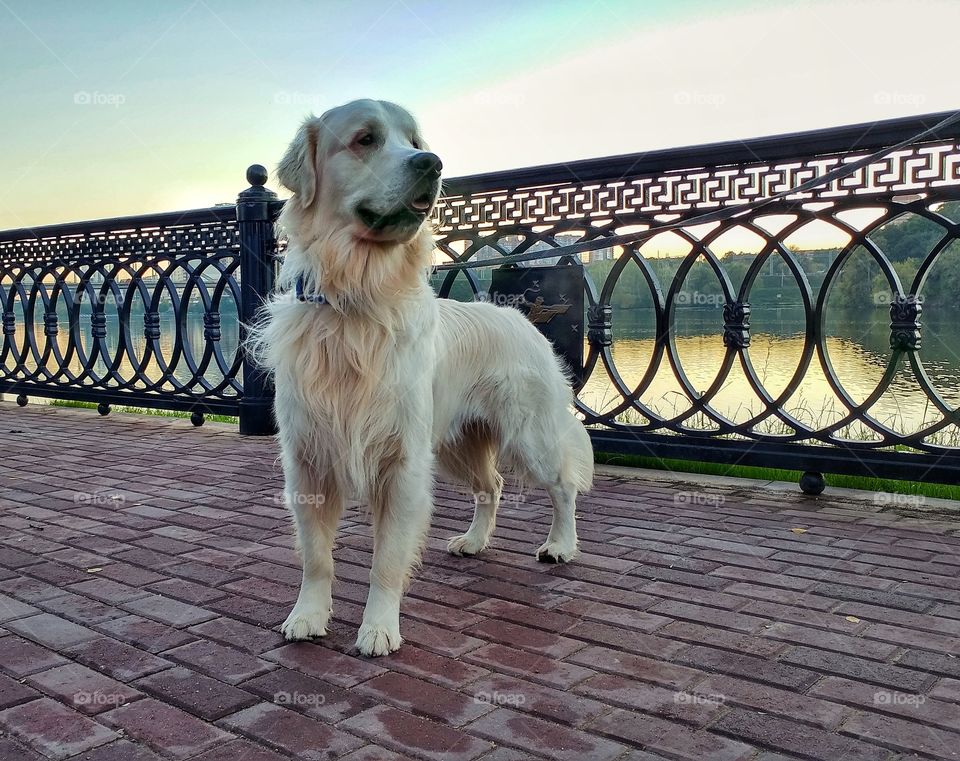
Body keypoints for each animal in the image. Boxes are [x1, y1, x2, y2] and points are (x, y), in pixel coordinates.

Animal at [249, 98, 592, 656]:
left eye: (413, 141)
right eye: (365, 139)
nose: (431, 163)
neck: (357, 300)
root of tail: (519, 317)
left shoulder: (403, 464)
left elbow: (386, 562)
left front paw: (379, 628)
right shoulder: (308, 462)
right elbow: (316, 557)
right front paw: (307, 616)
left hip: (528, 435)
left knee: (562, 486)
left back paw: (560, 545)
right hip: (457, 443)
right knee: (492, 485)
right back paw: (474, 542)